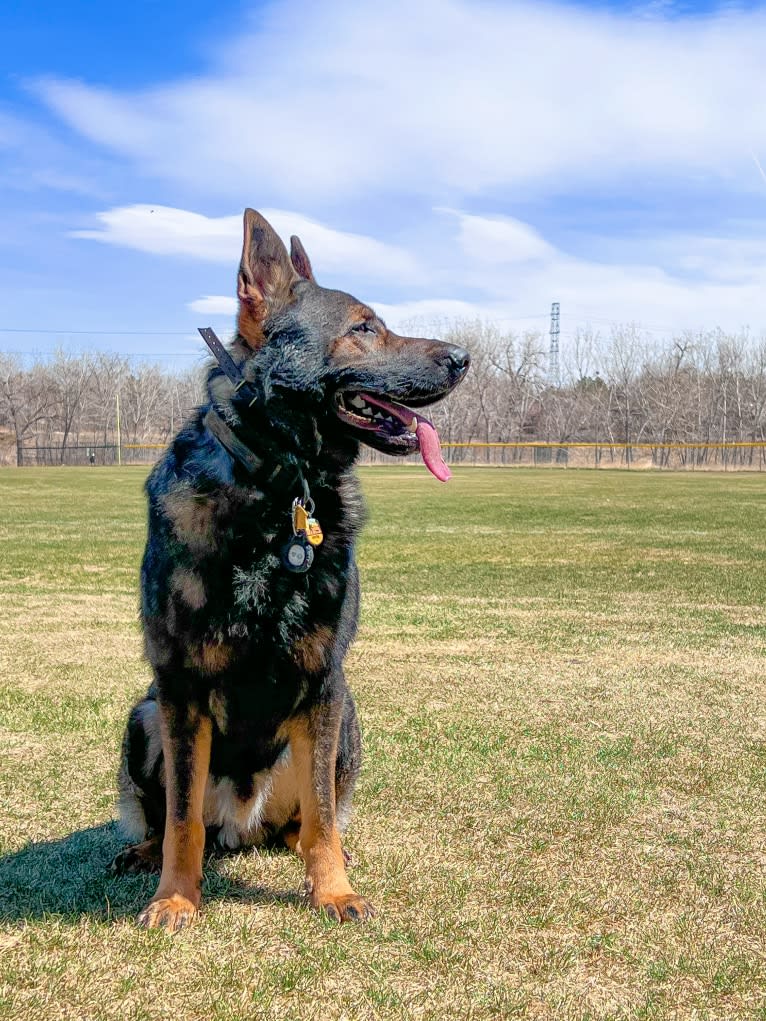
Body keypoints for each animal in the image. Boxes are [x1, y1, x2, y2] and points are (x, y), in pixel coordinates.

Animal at [114, 211, 471, 931]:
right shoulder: (179, 688)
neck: (278, 491)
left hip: (344, 720)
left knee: (305, 822)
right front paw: (175, 897)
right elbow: (180, 819)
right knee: (173, 815)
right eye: (364, 327)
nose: (464, 358)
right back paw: (143, 853)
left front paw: (333, 891)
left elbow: (326, 817)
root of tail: (241, 820)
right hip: (144, 714)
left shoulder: (324, 680)